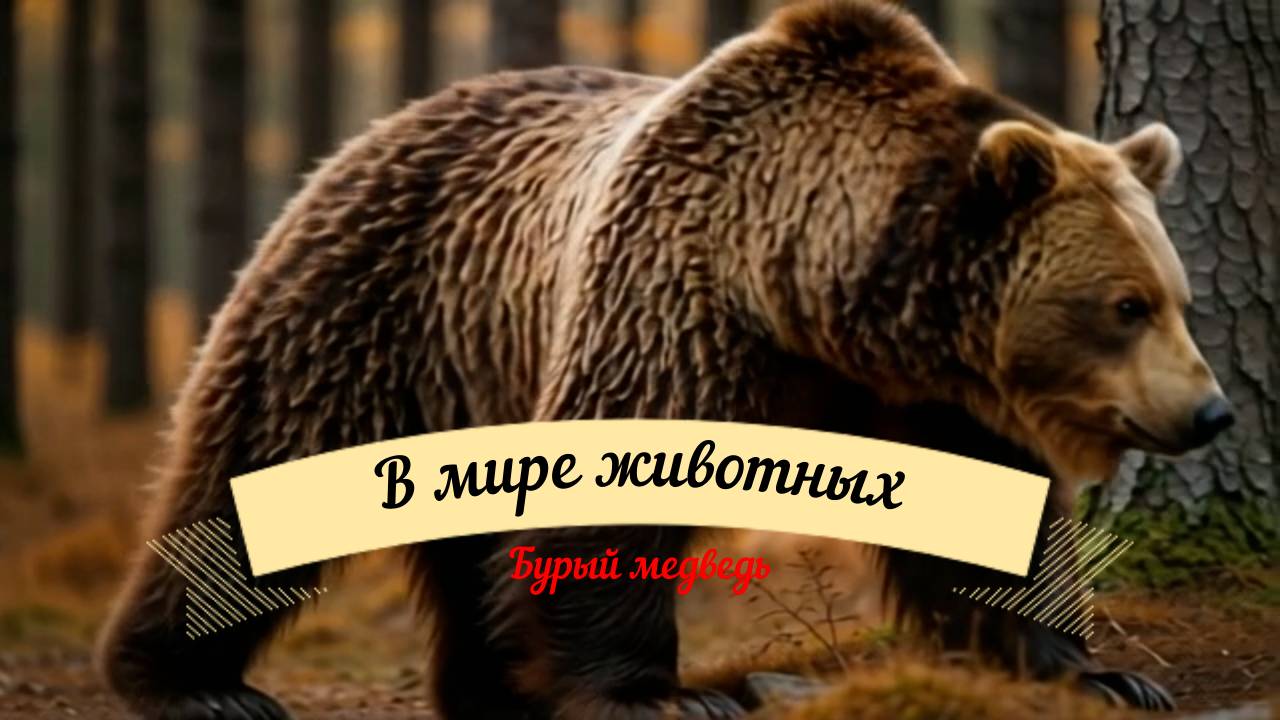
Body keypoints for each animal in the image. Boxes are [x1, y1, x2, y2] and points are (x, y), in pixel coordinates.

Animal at [97, 1, 1233, 717]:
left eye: (1175, 298)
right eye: (1123, 305)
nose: (1210, 412)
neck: (814, 291)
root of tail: (383, 122)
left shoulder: (929, 390)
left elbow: (989, 527)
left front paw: (1099, 673)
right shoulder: (675, 301)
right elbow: (607, 501)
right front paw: (657, 695)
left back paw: (487, 690)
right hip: (374, 302)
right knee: (254, 463)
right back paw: (199, 685)